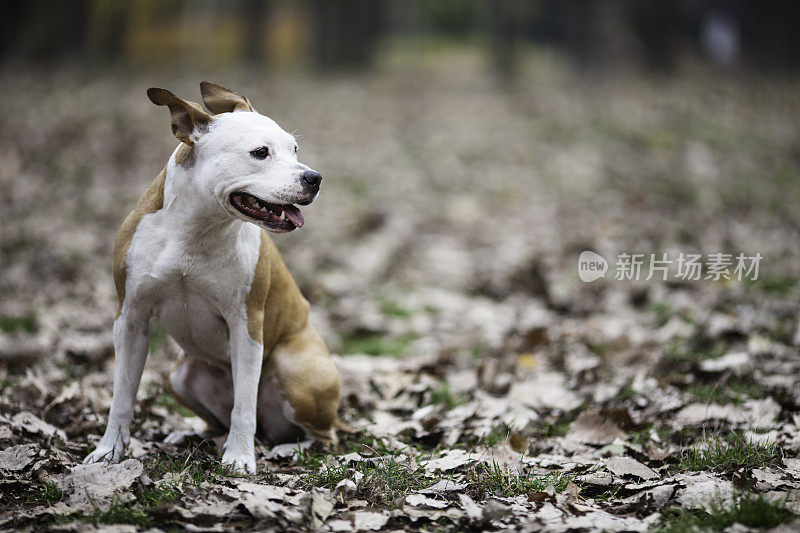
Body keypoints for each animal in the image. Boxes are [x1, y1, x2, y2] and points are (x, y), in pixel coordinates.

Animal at [84, 81, 344, 472]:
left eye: (294, 148)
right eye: (260, 152)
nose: (314, 178)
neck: (198, 230)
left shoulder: (246, 326)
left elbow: (244, 406)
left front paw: (239, 457)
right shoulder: (130, 317)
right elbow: (122, 395)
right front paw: (109, 449)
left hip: (295, 369)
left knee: (321, 436)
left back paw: (288, 449)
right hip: (180, 376)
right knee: (217, 421)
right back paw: (191, 435)